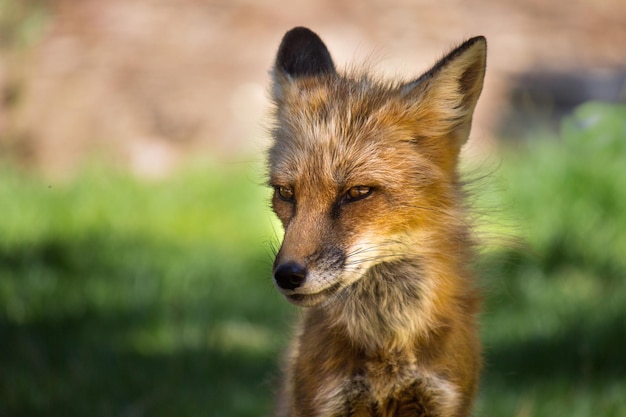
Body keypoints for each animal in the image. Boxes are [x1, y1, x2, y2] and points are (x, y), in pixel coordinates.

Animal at [266, 26, 486, 416]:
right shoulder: (325, 399)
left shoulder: (443, 397)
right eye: (285, 193)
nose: (287, 276)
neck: (388, 347)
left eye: (357, 192)